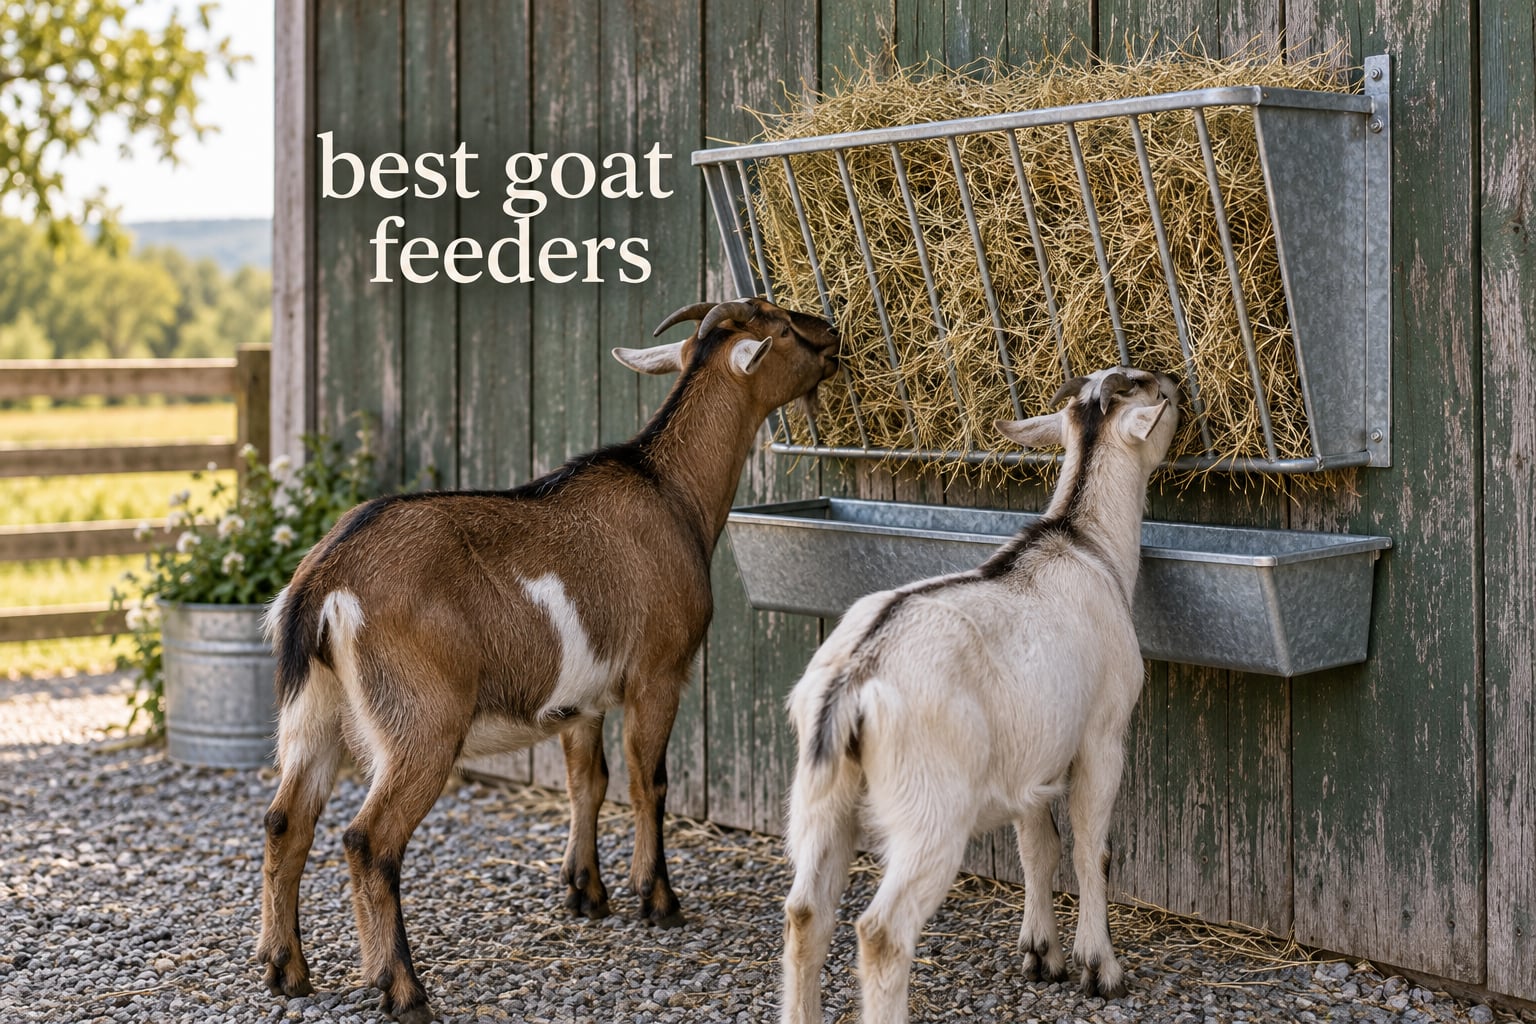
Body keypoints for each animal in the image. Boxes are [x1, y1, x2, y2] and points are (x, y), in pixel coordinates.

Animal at [257, 297, 839, 1023]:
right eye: (782, 328)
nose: (834, 336)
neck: (671, 491)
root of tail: (323, 580)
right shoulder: (658, 673)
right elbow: (648, 782)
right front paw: (658, 900)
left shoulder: (580, 698)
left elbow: (586, 782)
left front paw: (585, 893)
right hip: (421, 721)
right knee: (369, 840)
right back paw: (403, 988)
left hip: (315, 712)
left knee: (286, 822)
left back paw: (285, 970)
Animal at [779, 366, 1178, 1024]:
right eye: (1155, 391)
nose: (1181, 385)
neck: (1086, 544)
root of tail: (857, 678)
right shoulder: (1102, 734)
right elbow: (1092, 848)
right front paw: (1100, 968)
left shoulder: (1033, 756)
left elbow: (1038, 847)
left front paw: (1042, 955)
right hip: (930, 809)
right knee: (881, 931)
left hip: (820, 795)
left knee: (806, 912)